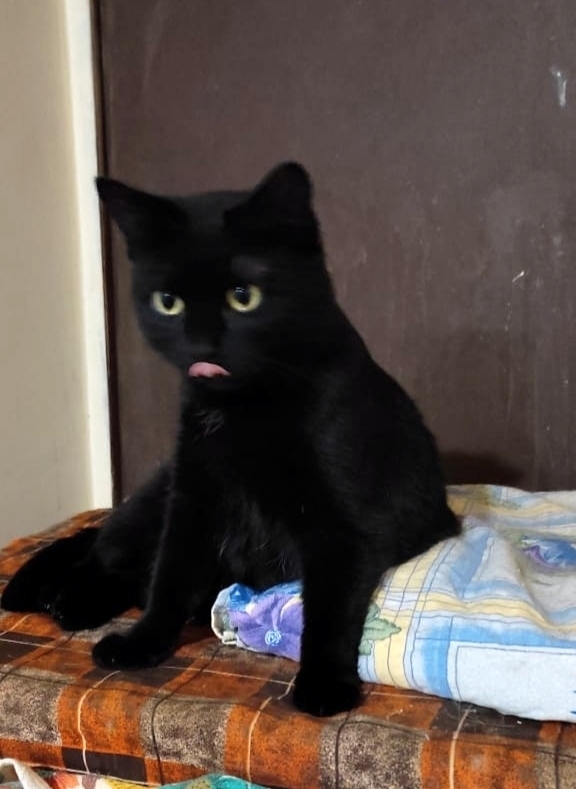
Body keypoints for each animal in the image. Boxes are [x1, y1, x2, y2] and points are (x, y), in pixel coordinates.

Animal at [2, 162, 459, 717]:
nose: (201, 347)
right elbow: (170, 574)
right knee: (105, 555)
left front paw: (324, 684)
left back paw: (74, 602)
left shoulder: (343, 525)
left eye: (244, 297)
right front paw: (144, 641)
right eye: (168, 302)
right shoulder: (192, 496)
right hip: (153, 502)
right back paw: (64, 596)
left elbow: (330, 605)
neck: (245, 410)